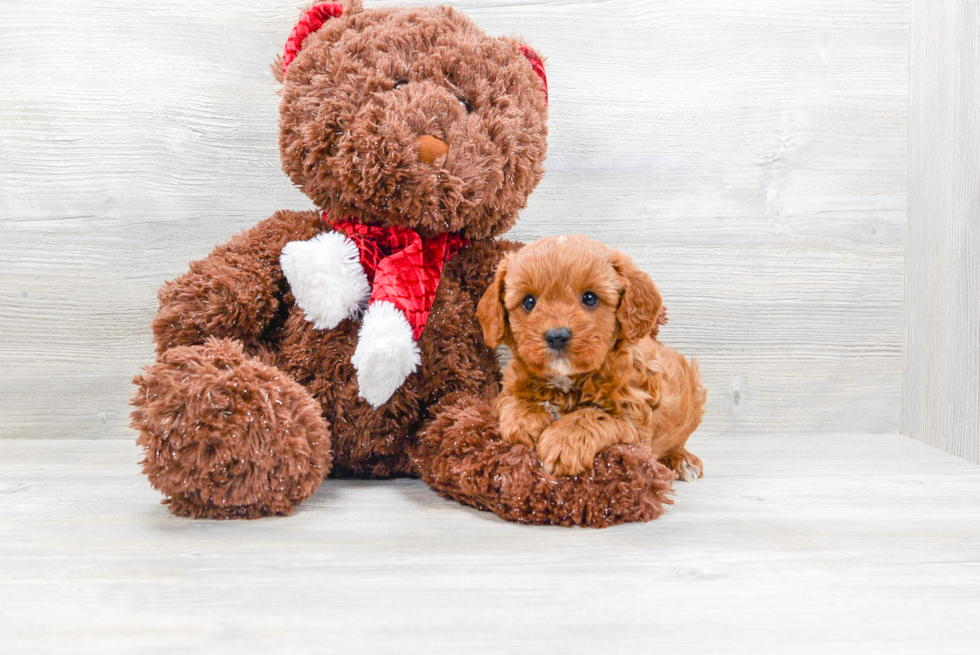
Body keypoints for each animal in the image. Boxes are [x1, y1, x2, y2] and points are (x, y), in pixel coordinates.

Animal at [474, 233, 704, 480]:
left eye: (590, 298)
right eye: (528, 302)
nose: (557, 336)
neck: (566, 380)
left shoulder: (636, 420)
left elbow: (594, 415)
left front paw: (563, 442)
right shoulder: (510, 384)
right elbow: (511, 398)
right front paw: (525, 417)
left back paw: (682, 459)